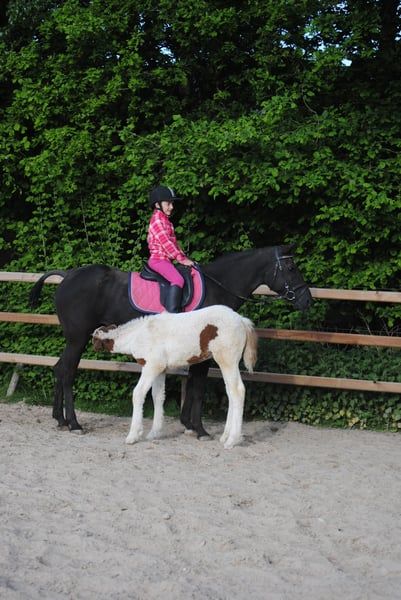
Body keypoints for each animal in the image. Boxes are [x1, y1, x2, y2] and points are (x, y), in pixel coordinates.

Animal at [92, 305, 258, 448]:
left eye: (94, 339)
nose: (92, 347)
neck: (140, 334)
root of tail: (241, 320)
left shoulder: (152, 366)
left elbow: (138, 394)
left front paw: (133, 435)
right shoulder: (160, 369)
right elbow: (158, 396)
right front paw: (154, 433)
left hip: (227, 358)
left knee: (237, 390)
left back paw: (232, 440)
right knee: (230, 392)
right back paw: (225, 436)